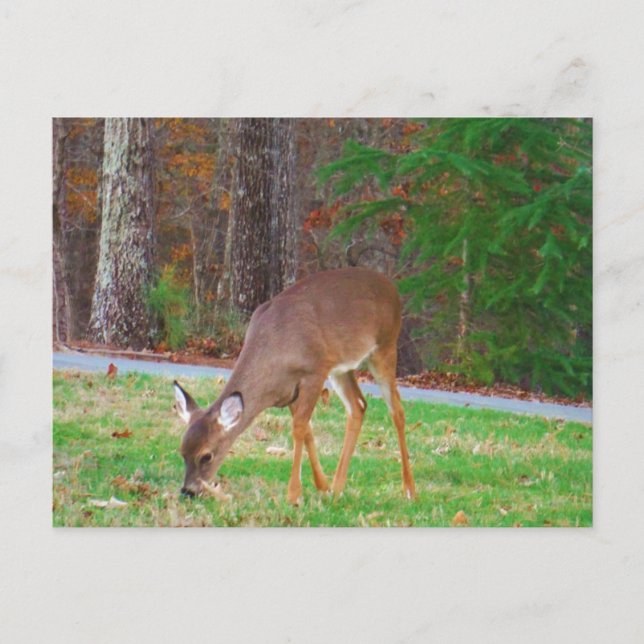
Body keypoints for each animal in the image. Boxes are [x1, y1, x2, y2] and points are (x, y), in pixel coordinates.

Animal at [173, 267, 416, 505]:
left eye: (206, 455)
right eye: (182, 451)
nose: (188, 491)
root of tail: (392, 288)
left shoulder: (314, 372)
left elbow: (299, 428)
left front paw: (294, 495)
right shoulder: (288, 390)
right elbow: (307, 429)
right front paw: (322, 486)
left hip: (385, 348)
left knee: (397, 411)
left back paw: (409, 489)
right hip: (342, 367)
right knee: (358, 405)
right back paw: (337, 488)